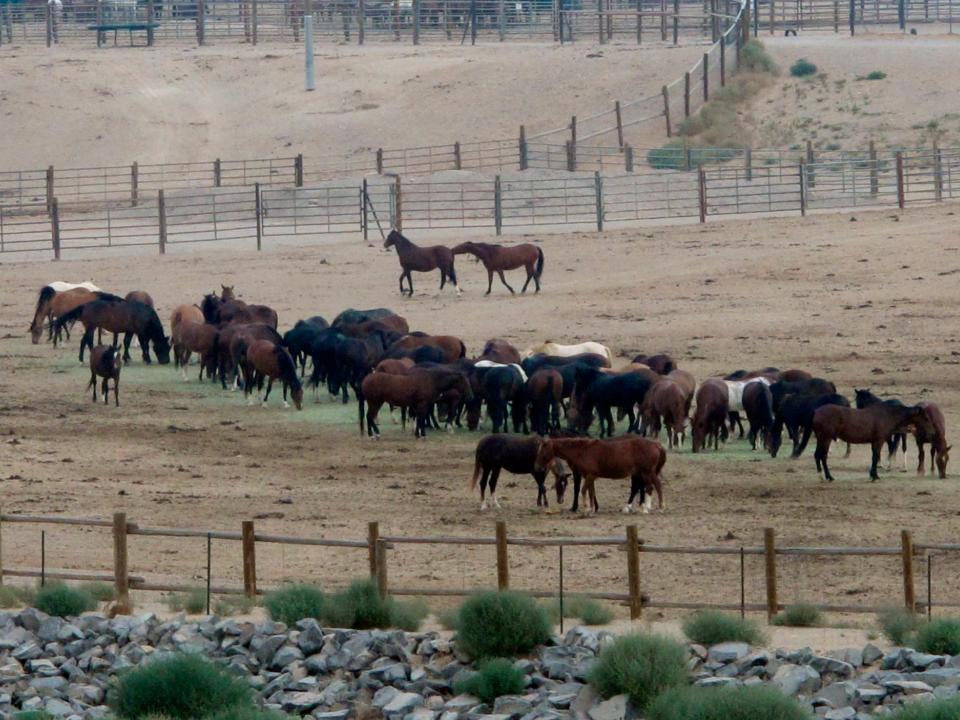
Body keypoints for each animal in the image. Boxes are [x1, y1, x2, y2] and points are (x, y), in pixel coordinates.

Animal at [532, 436, 668, 516]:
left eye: (542, 451)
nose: (536, 467)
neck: (583, 450)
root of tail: (656, 444)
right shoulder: (590, 476)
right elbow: (591, 492)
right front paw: (592, 509)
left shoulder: (589, 475)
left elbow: (583, 490)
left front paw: (586, 509)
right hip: (644, 473)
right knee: (649, 487)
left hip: (647, 472)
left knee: (655, 486)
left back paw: (653, 508)